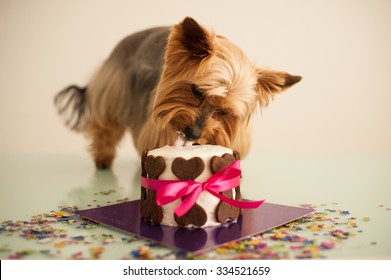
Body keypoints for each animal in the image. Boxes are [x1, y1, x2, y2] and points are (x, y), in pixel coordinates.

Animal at [53, 17, 302, 168]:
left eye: (224, 111)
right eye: (197, 91)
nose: (193, 134)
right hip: (115, 89)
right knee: (106, 127)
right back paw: (103, 159)